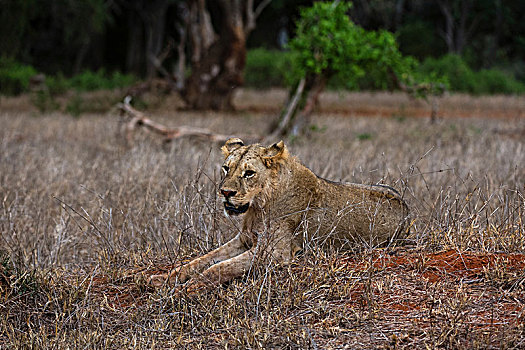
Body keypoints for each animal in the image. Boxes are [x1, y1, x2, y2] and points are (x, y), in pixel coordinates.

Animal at [149, 137, 408, 290]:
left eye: (249, 173)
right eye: (226, 168)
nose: (225, 192)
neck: (257, 206)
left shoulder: (276, 252)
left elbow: (219, 268)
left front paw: (188, 289)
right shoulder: (243, 240)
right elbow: (200, 260)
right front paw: (164, 279)